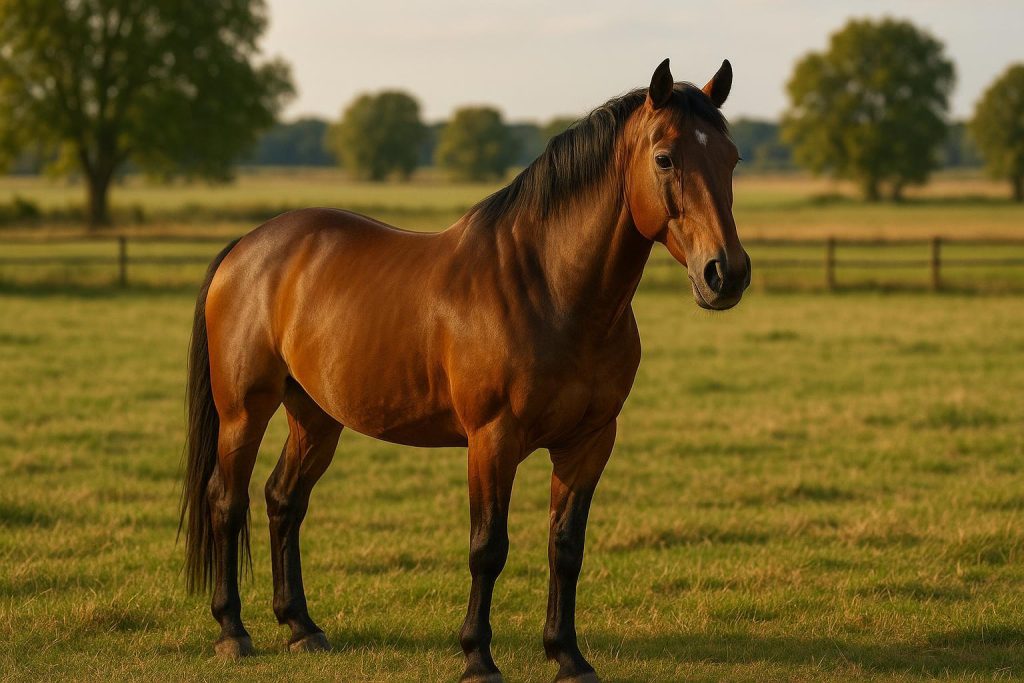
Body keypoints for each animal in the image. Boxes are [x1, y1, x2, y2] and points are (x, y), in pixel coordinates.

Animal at [180, 57, 749, 682]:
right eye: (665, 158)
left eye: (731, 157)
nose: (725, 273)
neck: (549, 289)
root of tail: (247, 247)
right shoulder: (492, 441)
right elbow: (488, 548)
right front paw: (478, 657)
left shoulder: (590, 443)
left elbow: (566, 548)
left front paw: (568, 656)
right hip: (244, 411)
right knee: (226, 502)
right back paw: (233, 630)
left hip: (316, 416)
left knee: (283, 501)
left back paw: (301, 628)